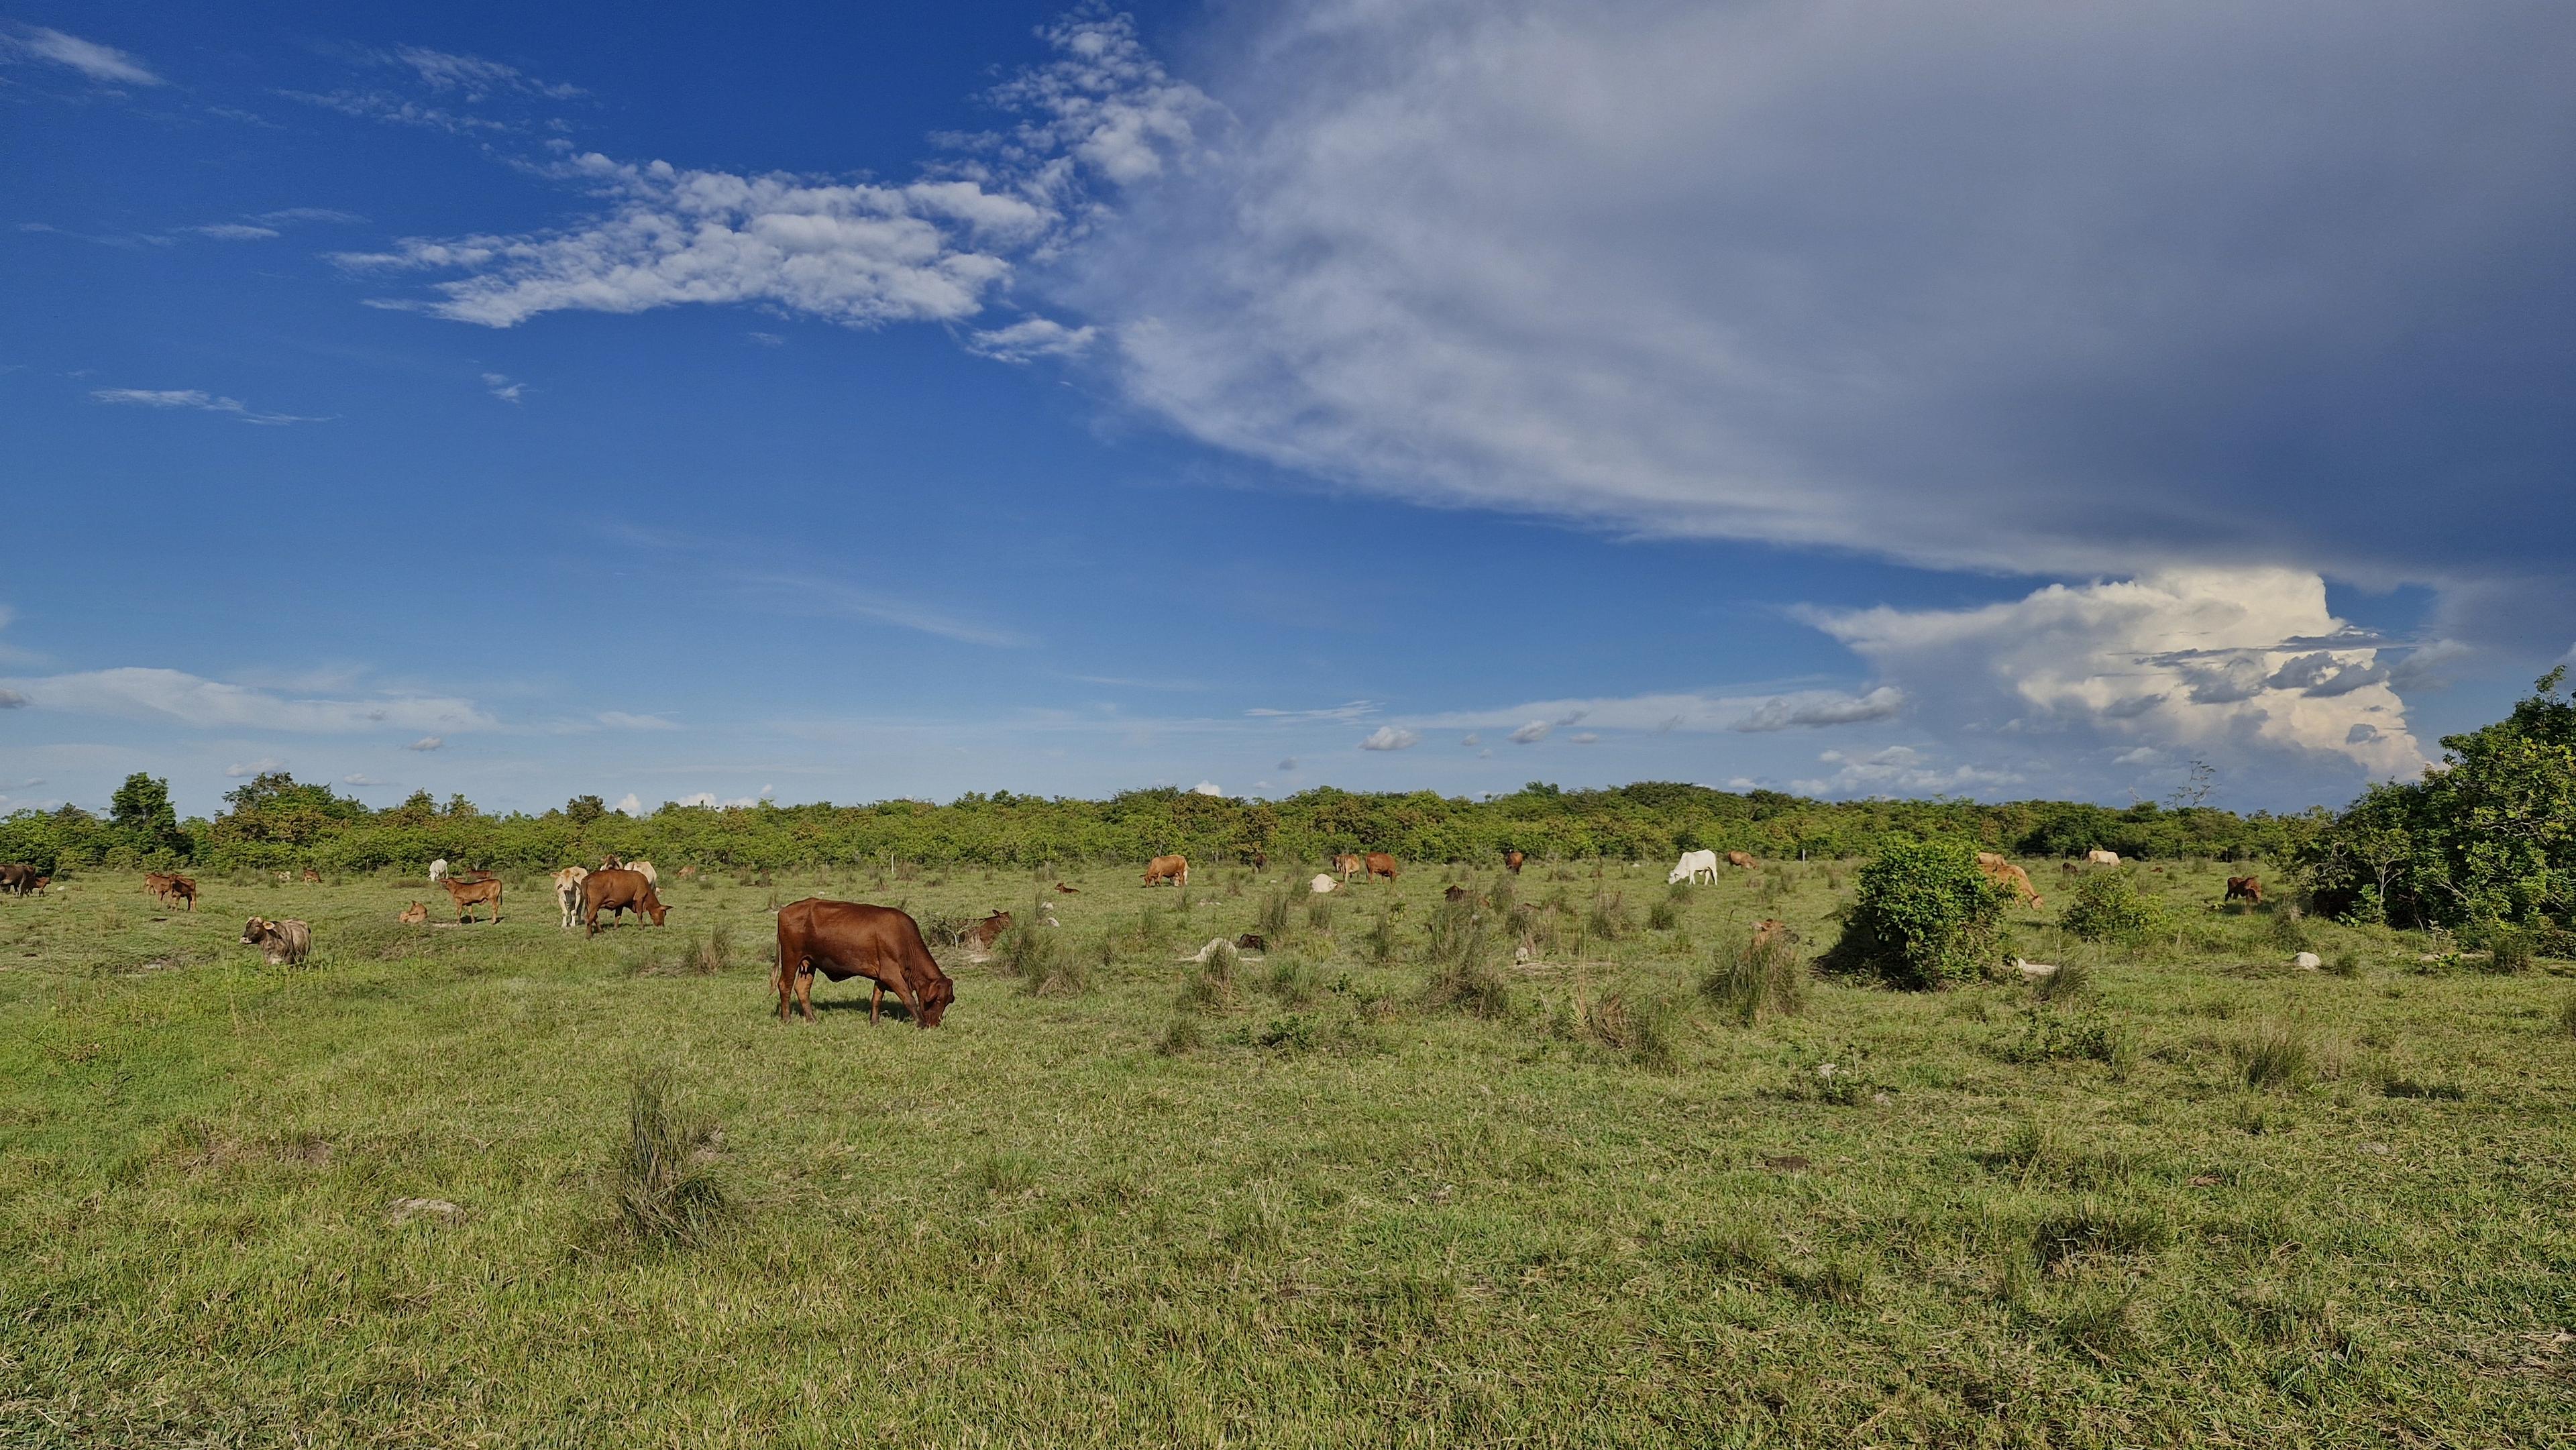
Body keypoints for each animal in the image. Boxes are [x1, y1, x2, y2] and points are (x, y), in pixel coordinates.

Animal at [775, 898, 955, 1027]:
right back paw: (787, 1019)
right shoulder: (891, 974)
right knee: (785, 985)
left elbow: (876, 999)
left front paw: (875, 1023)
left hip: (809, 963)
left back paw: (812, 1019)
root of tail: (784, 910)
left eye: (948, 1001)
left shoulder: (882, 976)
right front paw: (921, 1023)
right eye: (938, 1000)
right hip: (791, 957)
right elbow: (908, 999)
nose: (934, 1024)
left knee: (802, 989)